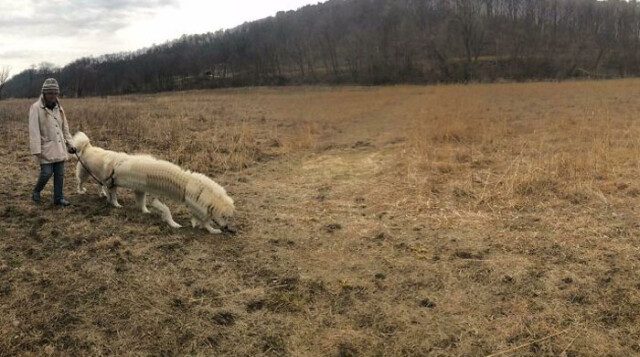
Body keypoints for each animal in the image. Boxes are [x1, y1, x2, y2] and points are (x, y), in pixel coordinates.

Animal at [71, 131, 235, 234]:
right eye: (224, 216)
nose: (227, 228)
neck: (183, 183)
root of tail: (87, 146)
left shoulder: (141, 190)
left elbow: (142, 203)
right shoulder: (155, 196)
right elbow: (166, 209)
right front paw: (174, 224)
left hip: (105, 179)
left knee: (102, 186)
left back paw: (104, 196)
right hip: (86, 173)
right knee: (82, 182)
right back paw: (95, 196)